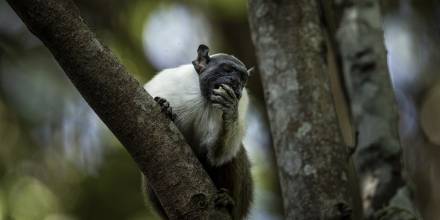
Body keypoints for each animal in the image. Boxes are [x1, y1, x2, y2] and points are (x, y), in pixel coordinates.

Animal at [143, 43, 253, 219]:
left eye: (243, 79)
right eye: (227, 69)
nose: (236, 83)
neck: (205, 100)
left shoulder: (242, 101)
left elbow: (217, 155)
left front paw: (229, 112)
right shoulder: (169, 82)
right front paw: (165, 106)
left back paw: (229, 202)